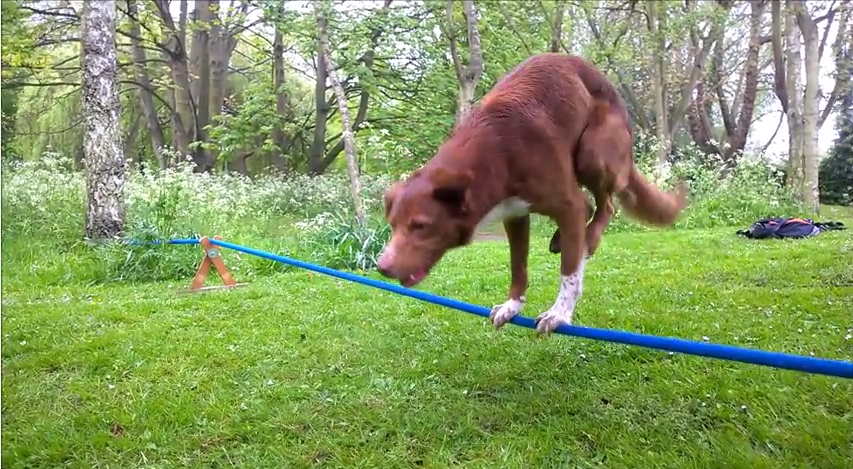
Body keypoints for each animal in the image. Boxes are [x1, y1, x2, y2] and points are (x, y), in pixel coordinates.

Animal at [378, 52, 684, 332]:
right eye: (392, 226)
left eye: (420, 226)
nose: (382, 267)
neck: (494, 154)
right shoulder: (514, 215)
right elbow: (518, 266)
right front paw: (512, 305)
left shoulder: (567, 205)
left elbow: (569, 272)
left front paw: (560, 313)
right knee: (591, 206)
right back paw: (564, 238)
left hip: (593, 152)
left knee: (604, 205)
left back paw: (589, 239)